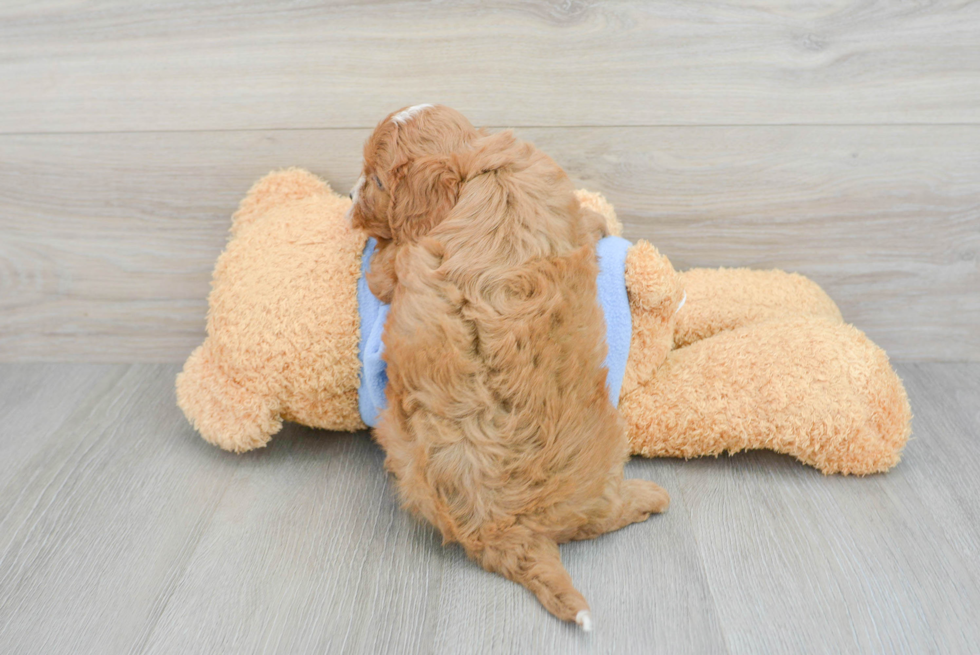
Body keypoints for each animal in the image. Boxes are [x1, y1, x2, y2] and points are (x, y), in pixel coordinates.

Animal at [348, 104, 668, 632]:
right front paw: (599, 218)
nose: (350, 198)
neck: (472, 165)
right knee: (602, 515)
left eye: (374, 179)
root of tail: (507, 531)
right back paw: (651, 497)